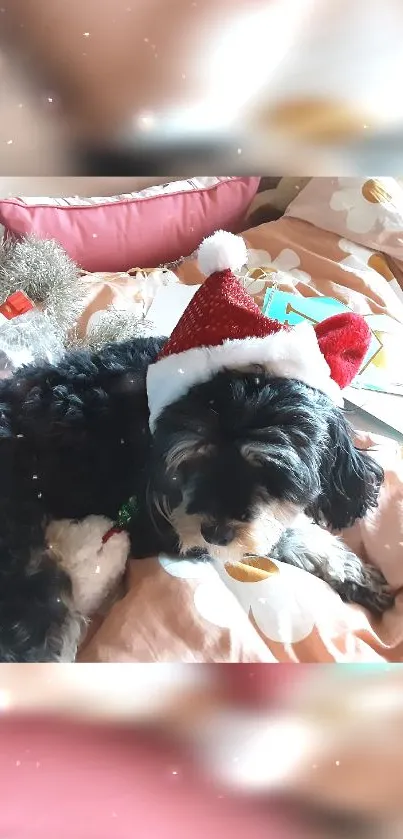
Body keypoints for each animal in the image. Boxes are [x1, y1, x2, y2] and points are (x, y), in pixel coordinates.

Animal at [0, 328, 394, 664]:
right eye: (192, 459)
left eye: (270, 472)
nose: (215, 533)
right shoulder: (159, 524)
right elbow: (276, 537)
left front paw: (352, 570)